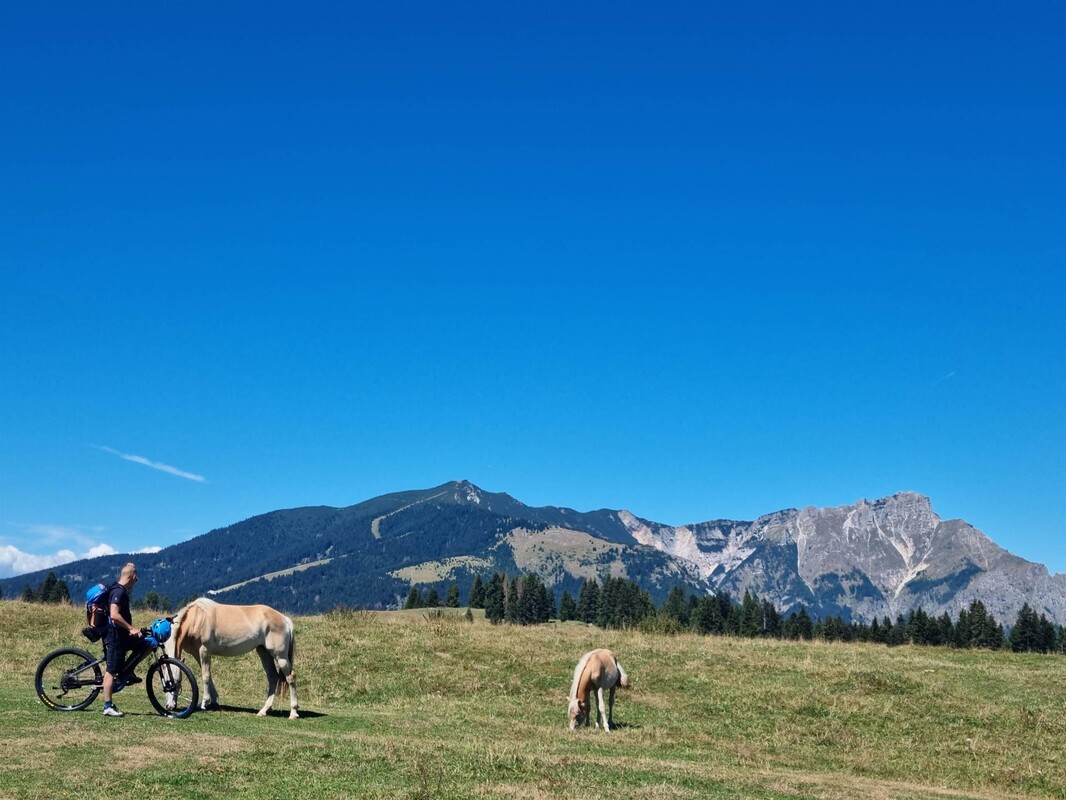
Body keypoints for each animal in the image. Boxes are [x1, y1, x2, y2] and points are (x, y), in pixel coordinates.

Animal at [165, 597, 300, 719]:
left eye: (174, 683)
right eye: (166, 683)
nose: (169, 707)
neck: (197, 618)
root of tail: (285, 620)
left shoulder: (204, 651)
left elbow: (205, 676)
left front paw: (204, 702)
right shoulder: (197, 654)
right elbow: (209, 675)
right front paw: (213, 701)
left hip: (280, 657)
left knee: (290, 677)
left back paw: (293, 712)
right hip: (264, 652)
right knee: (273, 677)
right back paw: (264, 710)